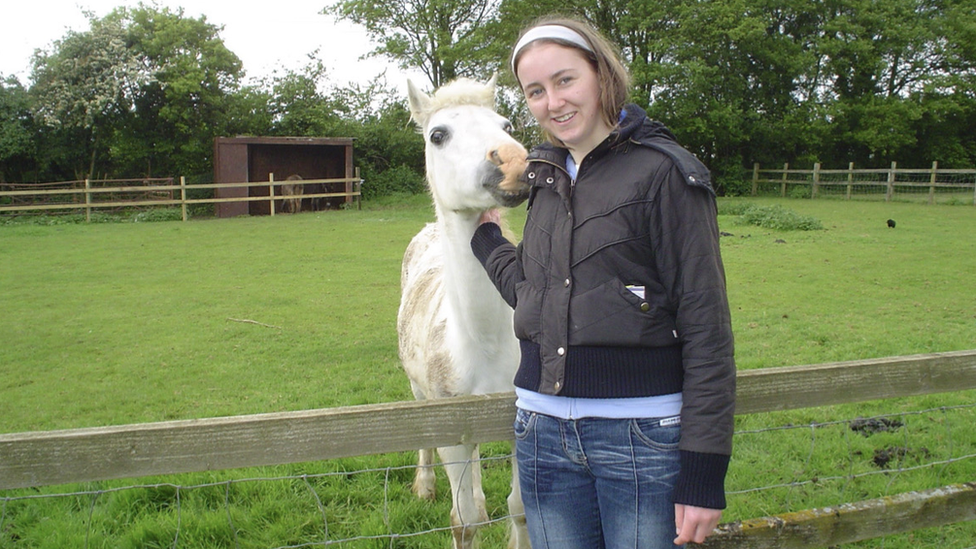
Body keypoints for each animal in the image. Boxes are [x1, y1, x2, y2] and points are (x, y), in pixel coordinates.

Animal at [398, 78, 528, 548]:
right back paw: (424, 486)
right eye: (438, 134)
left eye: (506, 124)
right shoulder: (451, 432)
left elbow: (520, 509)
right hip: (420, 395)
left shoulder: (518, 425)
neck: (484, 343)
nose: (516, 161)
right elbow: (463, 521)